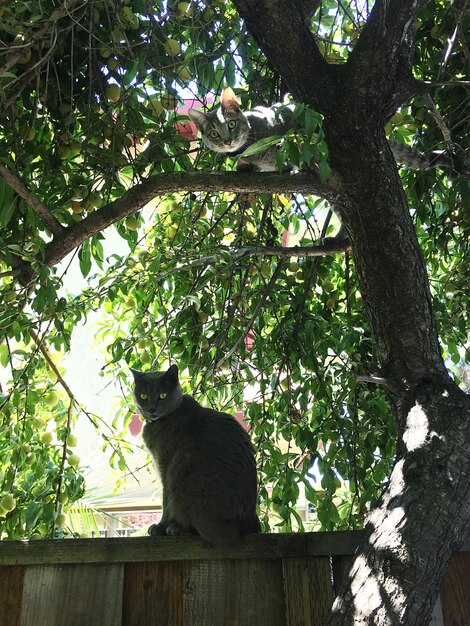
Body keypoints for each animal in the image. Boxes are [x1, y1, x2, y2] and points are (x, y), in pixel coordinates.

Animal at [130, 364, 260, 544]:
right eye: (143, 396)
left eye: (162, 396)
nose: (151, 409)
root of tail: (247, 526)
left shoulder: (165, 463)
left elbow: (166, 500)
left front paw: (160, 527)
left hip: (182, 477)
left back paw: (177, 529)